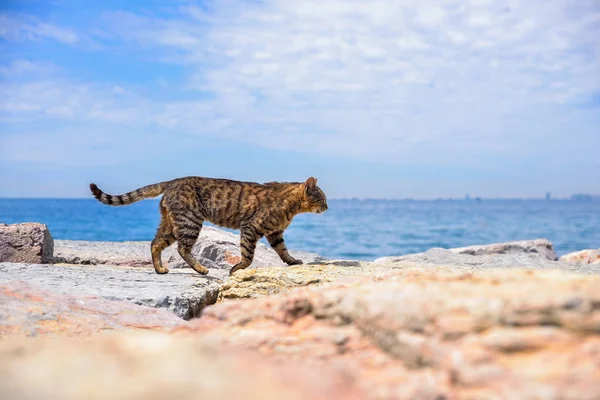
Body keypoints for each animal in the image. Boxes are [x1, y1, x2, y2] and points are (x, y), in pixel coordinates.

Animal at [88, 177, 328, 276]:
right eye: (323, 198)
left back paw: (160, 269)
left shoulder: (275, 233)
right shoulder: (251, 227)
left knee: (156, 243)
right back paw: (201, 269)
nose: (327, 207)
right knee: (182, 248)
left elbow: (283, 251)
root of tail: (172, 182)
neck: (292, 205)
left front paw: (293, 261)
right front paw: (237, 269)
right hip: (190, 221)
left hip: (172, 224)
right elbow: (248, 256)